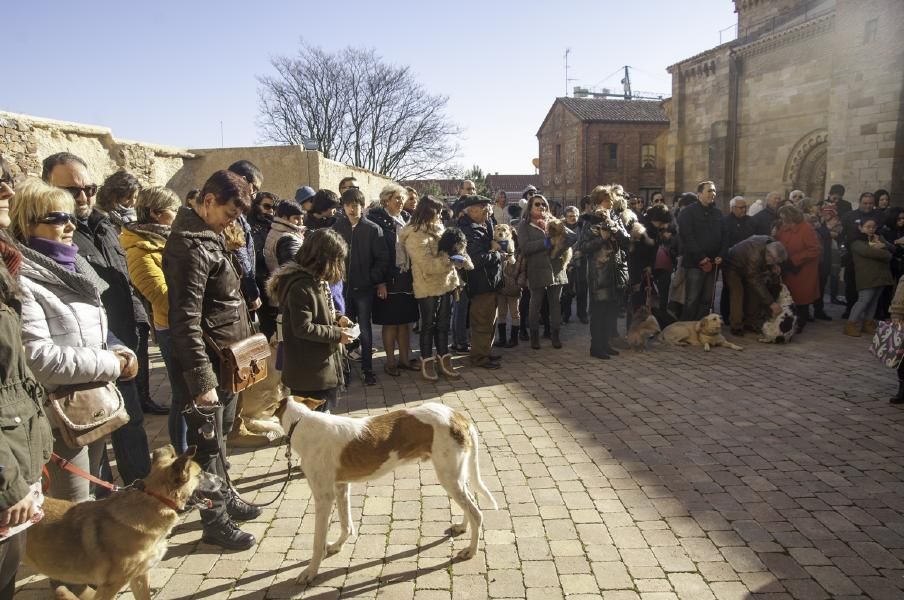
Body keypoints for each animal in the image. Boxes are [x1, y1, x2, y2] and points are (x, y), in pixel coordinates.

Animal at [278, 398, 498, 584]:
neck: (300, 421)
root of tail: (457, 415)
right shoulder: (341, 487)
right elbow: (346, 524)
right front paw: (337, 546)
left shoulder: (323, 496)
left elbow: (317, 542)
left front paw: (310, 572)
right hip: (456, 477)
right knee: (470, 503)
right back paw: (462, 527)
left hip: (449, 477)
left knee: (477, 513)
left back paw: (470, 551)